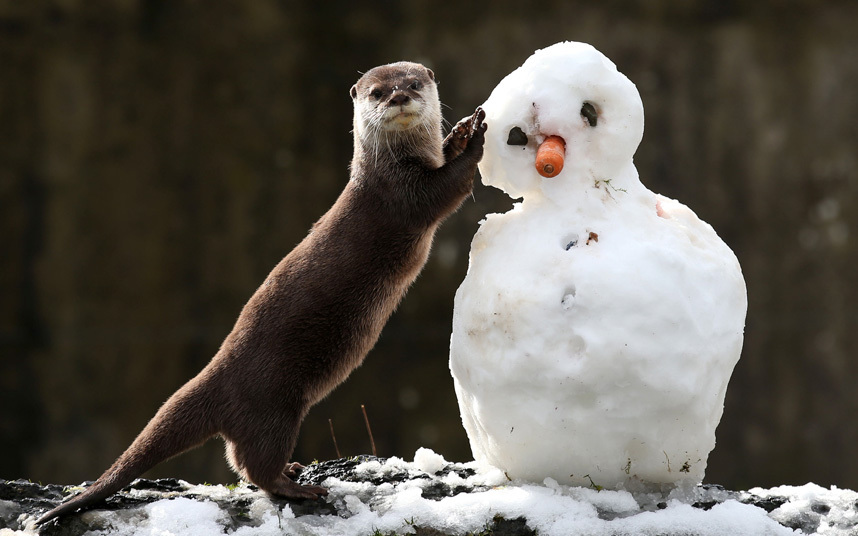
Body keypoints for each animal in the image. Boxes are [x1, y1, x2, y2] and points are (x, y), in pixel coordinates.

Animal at [36, 61, 484, 524]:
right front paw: (476, 140)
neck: (390, 166)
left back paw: (294, 470)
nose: (398, 97)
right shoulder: (401, 196)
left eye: (413, 83)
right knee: (255, 464)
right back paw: (299, 487)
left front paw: (459, 133)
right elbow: (446, 189)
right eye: (377, 92)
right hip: (274, 408)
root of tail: (218, 376)